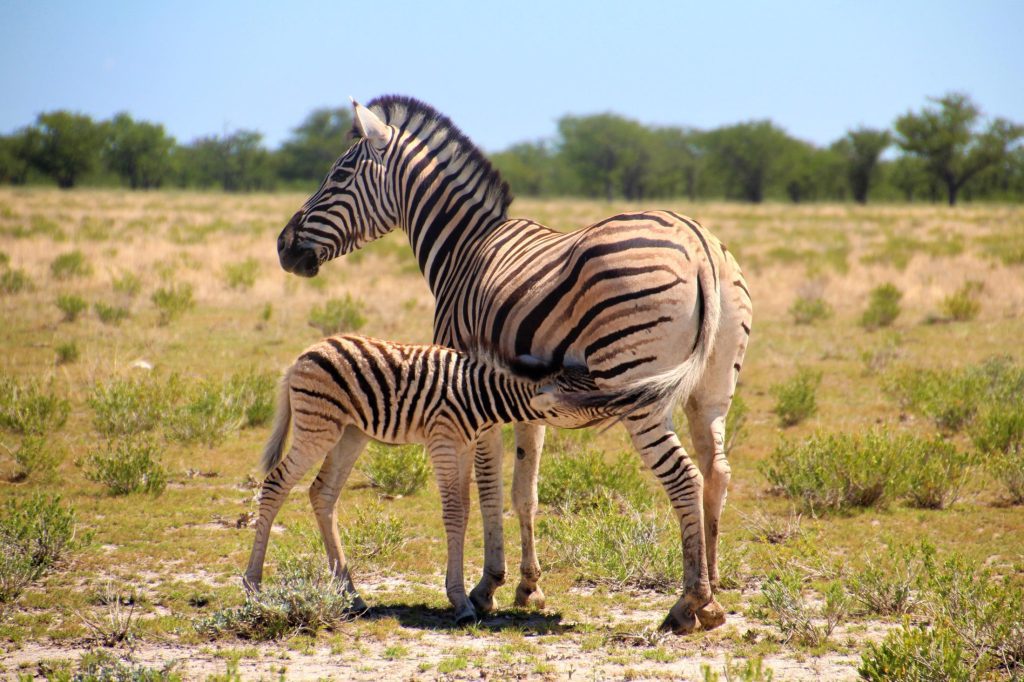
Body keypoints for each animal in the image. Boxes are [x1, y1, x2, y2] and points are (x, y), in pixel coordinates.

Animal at [243, 333, 614, 624]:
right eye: (587, 395)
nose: (623, 396)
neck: (481, 394)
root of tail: (305, 353)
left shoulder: (464, 446)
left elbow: (464, 510)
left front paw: (462, 596)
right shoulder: (443, 441)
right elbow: (453, 513)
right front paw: (462, 603)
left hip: (350, 432)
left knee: (322, 493)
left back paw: (352, 596)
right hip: (318, 428)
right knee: (276, 484)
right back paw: (253, 588)